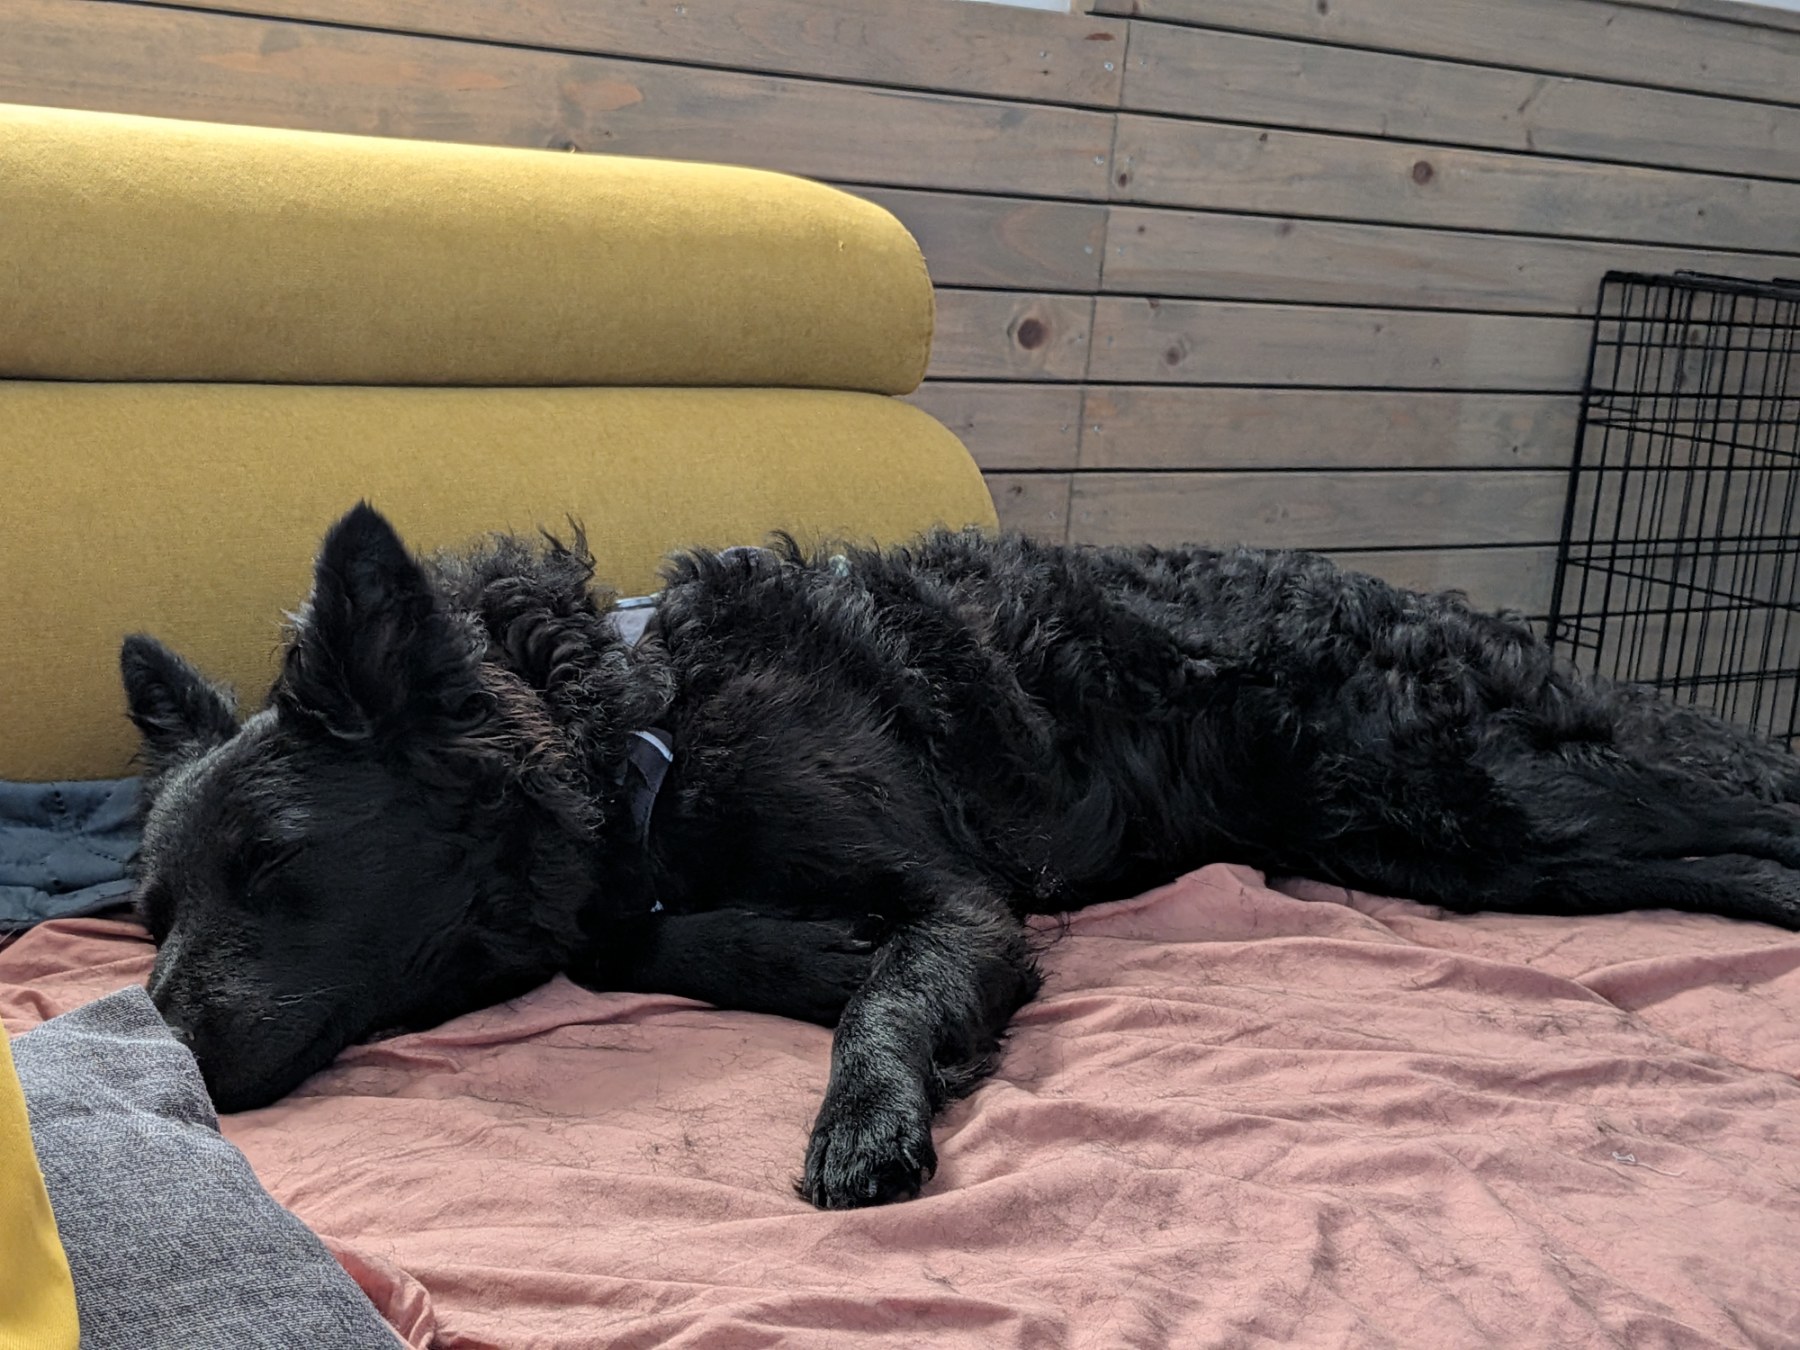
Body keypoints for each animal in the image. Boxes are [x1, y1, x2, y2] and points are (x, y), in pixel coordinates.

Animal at [122, 503, 1800, 1209]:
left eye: (273, 865)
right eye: (146, 915)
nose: (158, 1049)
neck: (643, 723)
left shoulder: (965, 899)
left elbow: (892, 991)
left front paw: (865, 1109)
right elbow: (629, 932)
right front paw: (797, 950)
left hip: (1499, 804)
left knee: (1755, 799)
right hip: (1454, 853)